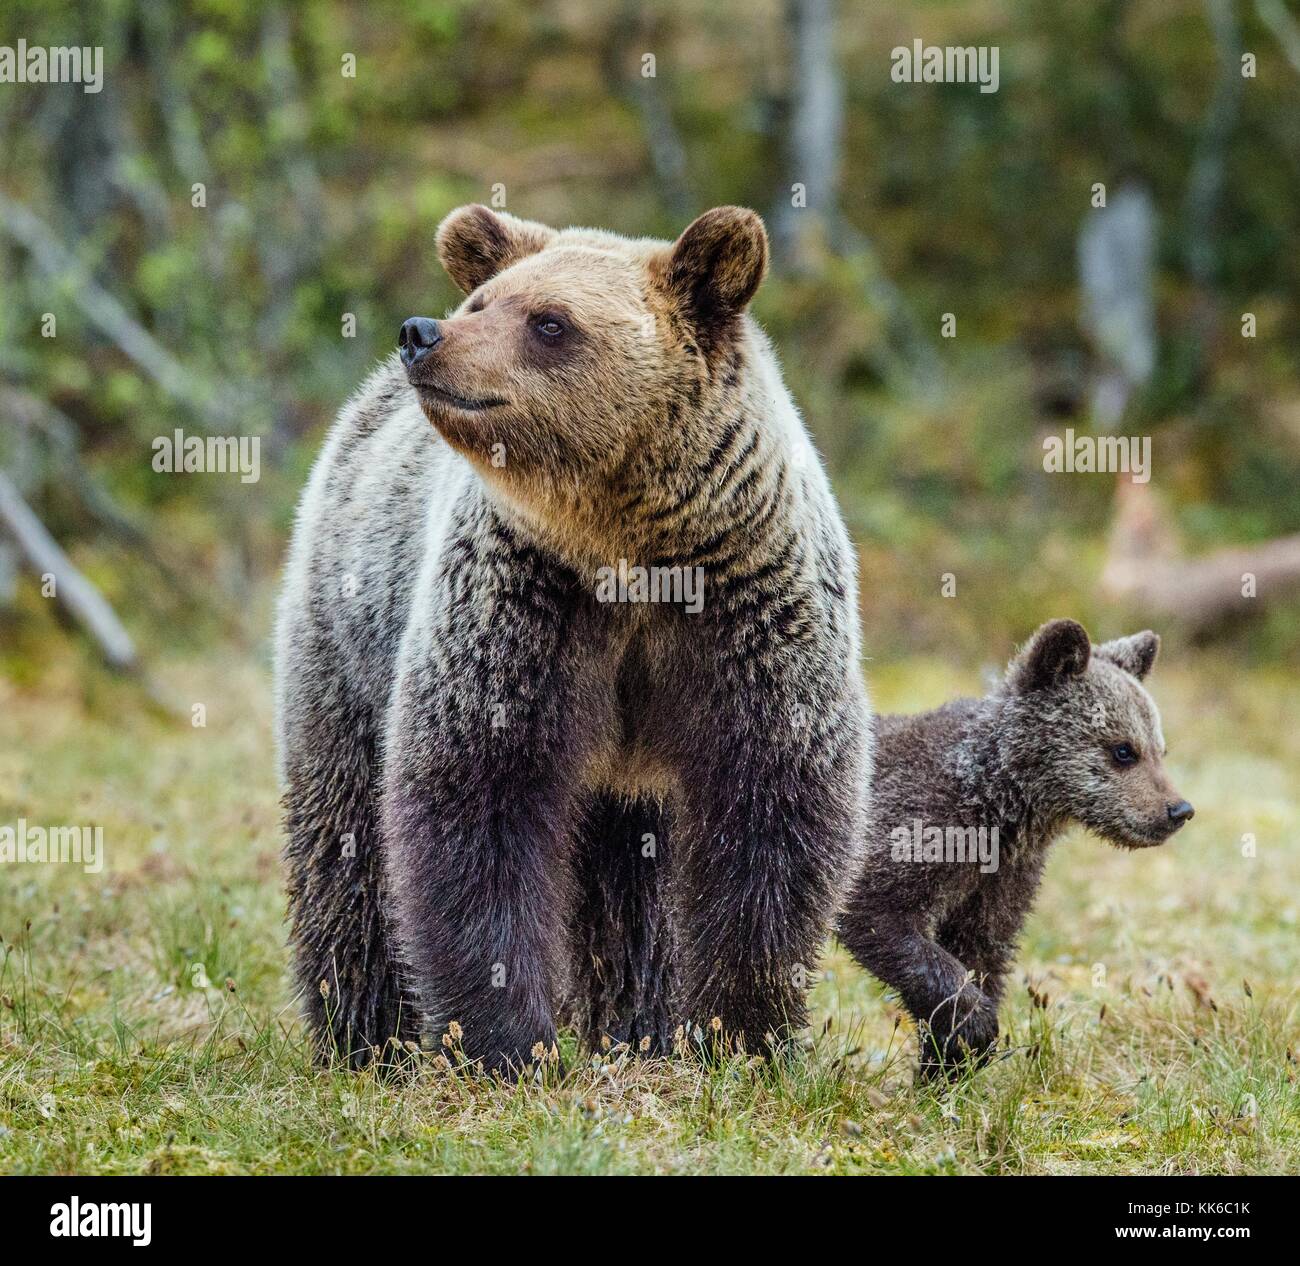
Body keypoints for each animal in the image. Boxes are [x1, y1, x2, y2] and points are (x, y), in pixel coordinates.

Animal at [274, 203, 872, 1074]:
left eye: (550, 322)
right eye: (482, 299)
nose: (424, 333)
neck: (628, 552)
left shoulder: (747, 613)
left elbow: (771, 815)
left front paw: (744, 1034)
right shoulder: (523, 606)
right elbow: (477, 803)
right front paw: (504, 1043)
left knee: (634, 894)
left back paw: (638, 1029)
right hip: (346, 637)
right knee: (344, 834)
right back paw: (366, 1037)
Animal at [836, 618, 1193, 1078]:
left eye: (1160, 749)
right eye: (1123, 750)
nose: (1179, 810)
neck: (996, 805)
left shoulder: (1003, 877)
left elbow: (983, 949)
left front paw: (947, 1061)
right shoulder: (909, 829)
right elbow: (879, 916)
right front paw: (972, 1027)